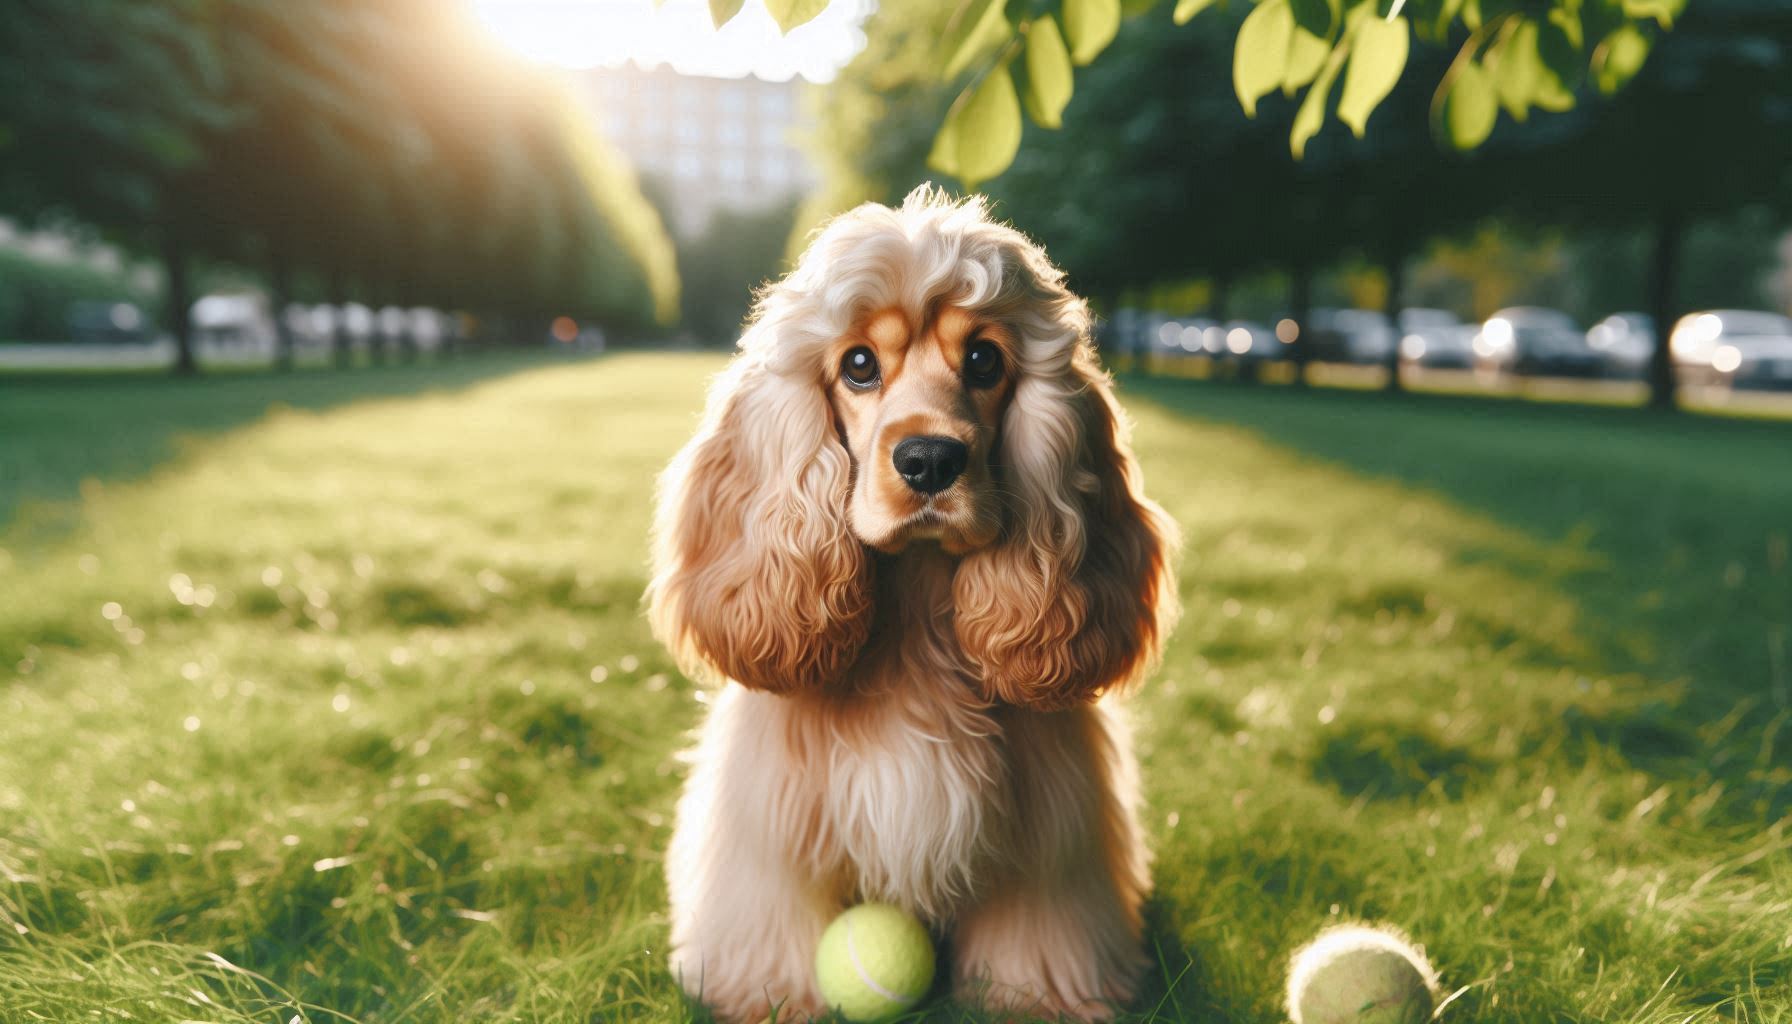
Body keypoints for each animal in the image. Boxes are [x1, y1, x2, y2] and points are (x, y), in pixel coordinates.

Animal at [645, 188, 1175, 1018]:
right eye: (859, 364)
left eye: (984, 358)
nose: (929, 460)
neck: (919, 617)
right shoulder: (778, 825)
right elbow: (773, 918)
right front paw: (768, 996)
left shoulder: (1048, 835)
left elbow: (1041, 925)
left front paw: (1037, 998)